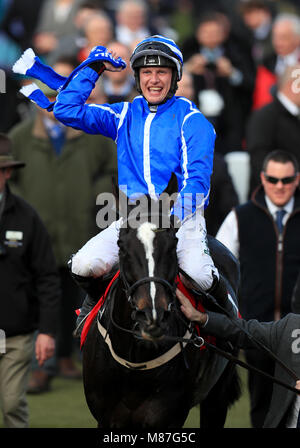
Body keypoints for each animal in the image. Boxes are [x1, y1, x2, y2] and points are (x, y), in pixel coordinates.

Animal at [81, 174, 241, 428]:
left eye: (173, 242)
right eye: (121, 245)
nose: (151, 317)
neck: (135, 363)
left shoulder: (168, 417)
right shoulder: (106, 418)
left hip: (217, 395)